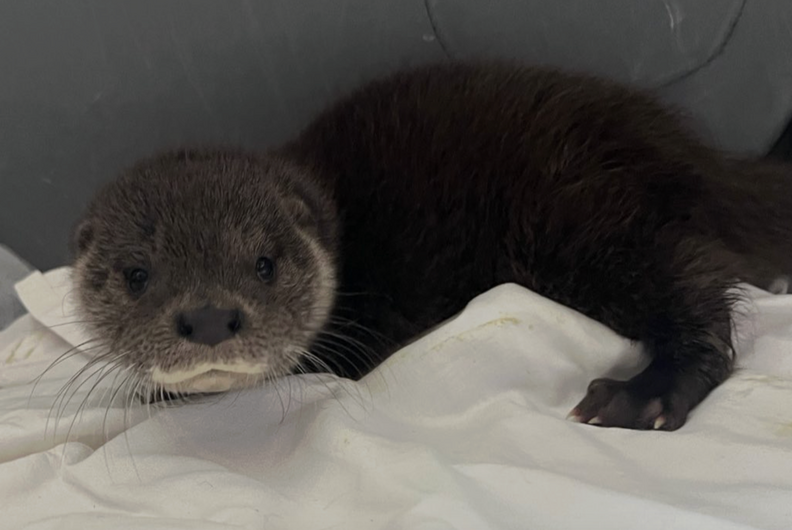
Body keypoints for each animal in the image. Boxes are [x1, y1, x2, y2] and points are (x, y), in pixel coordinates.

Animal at [70, 62, 792, 431]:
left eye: (264, 265)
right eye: (137, 274)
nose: (210, 317)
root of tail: (691, 152)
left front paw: (157, 398)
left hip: (575, 217)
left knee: (696, 289)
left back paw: (643, 396)